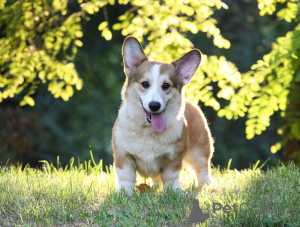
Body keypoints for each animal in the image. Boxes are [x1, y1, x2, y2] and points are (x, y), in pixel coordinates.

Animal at [112, 36, 213, 194]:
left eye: (166, 85)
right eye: (145, 84)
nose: (154, 105)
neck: (148, 131)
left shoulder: (173, 157)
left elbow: (170, 175)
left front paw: (175, 192)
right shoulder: (123, 155)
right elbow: (126, 176)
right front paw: (124, 192)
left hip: (200, 150)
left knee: (202, 168)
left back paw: (206, 184)